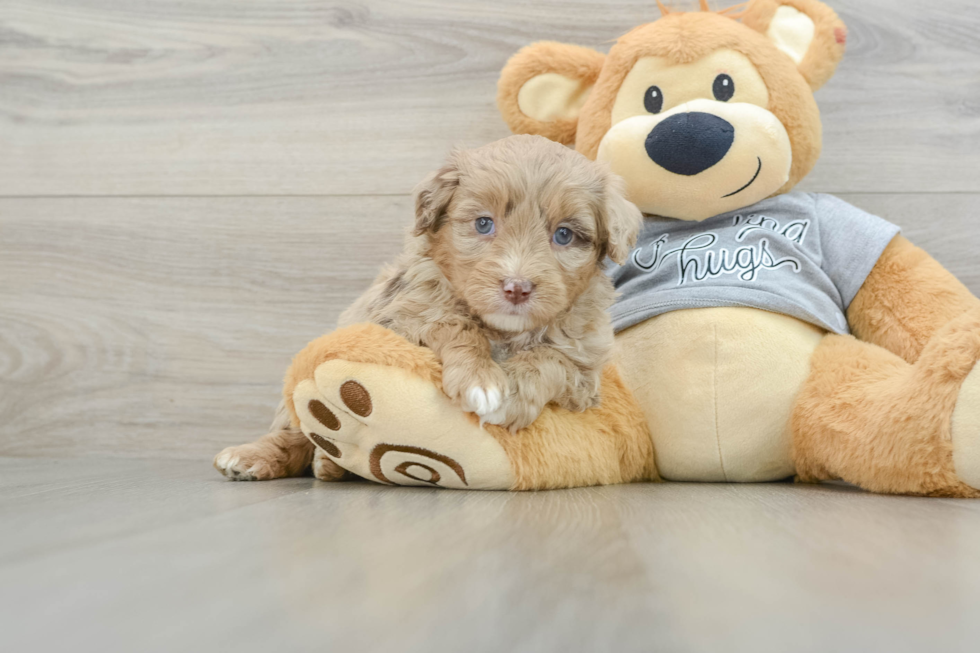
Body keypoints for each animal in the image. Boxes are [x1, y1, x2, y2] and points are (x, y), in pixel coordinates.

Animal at [342, 134, 644, 428]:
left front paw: (513, 395)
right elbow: (453, 323)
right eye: (483, 223)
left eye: (564, 235)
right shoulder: (401, 318)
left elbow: (552, 359)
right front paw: (480, 379)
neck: (505, 332)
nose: (517, 289)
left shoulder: (586, 373)